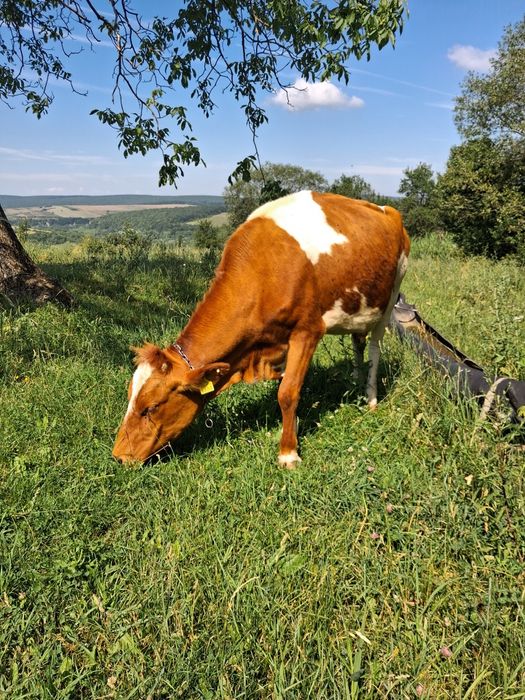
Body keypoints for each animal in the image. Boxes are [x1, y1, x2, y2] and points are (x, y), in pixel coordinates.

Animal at [113, 191, 410, 467]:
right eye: (129, 397)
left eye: (150, 407)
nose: (118, 455)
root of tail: (386, 209)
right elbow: (283, 387)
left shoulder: (307, 330)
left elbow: (288, 392)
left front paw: (289, 453)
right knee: (358, 342)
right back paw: (356, 381)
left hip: (389, 298)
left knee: (375, 349)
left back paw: (370, 398)